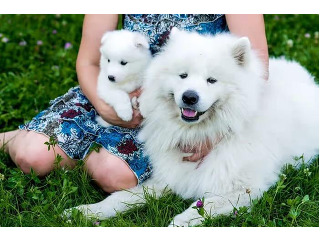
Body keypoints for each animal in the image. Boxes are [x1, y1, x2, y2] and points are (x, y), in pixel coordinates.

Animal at [66, 28, 318, 227]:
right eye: (183, 75)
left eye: (212, 80)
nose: (189, 97)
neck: (201, 133)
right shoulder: (168, 177)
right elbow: (120, 198)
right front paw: (86, 211)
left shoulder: (243, 189)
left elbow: (203, 207)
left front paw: (177, 223)